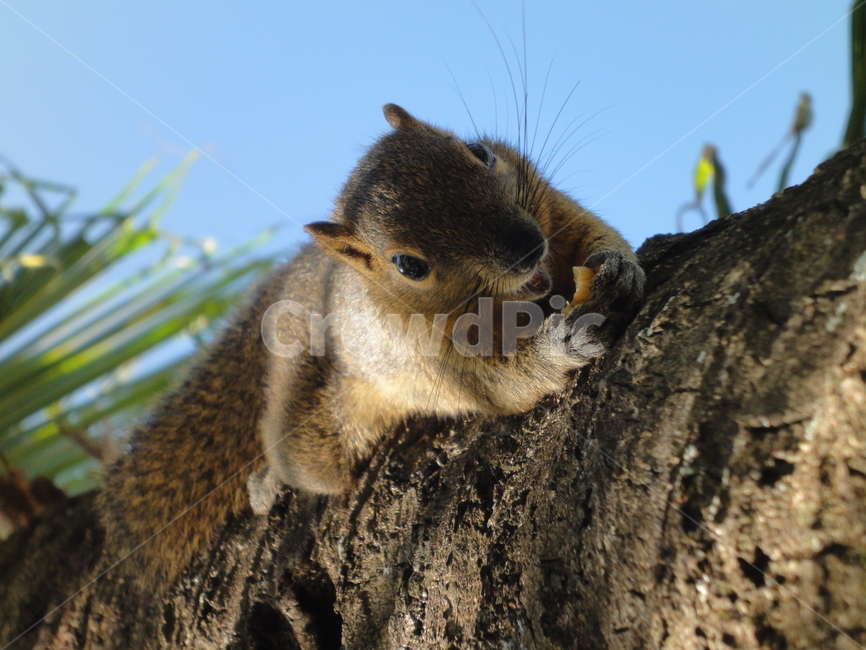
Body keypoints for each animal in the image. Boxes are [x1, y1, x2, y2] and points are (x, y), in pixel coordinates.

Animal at [99, 104, 645, 593]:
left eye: (479, 152)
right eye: (408, 266)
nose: (528, 248)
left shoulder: (550, 206)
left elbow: (593, 233)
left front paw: (617, 264)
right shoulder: (441, 360)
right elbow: (505, 383)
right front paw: (561, 344)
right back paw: (265, 485)